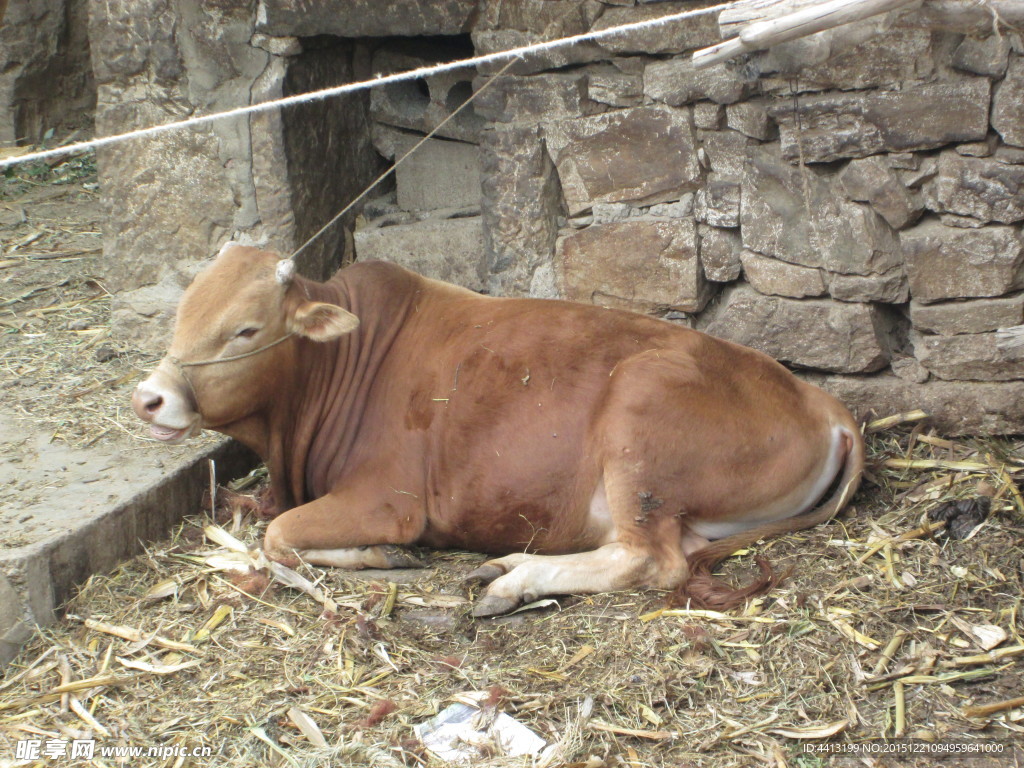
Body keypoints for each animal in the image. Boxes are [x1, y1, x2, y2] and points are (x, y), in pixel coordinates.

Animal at [132, 243, 860, 618]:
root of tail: (826, 404)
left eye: (245, 330)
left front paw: (375, 557)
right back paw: (506, 566)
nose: (149, 398)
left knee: (650, 559)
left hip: (640, 425)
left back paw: (513, 582)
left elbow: (279, 538)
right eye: (182, 313)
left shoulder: (389, 500)